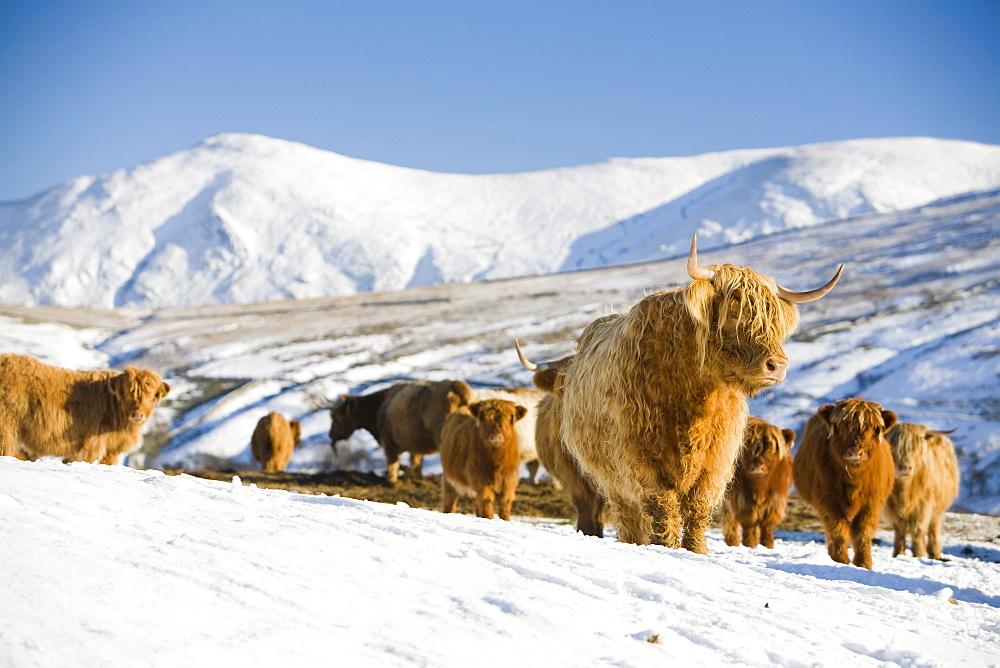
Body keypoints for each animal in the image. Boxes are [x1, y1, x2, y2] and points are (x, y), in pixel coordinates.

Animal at [0, 352, 170, 468]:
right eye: (128, 392)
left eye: (152, 396)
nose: (137, 414)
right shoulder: (92, 448)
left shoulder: (110, 452)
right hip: (6, 428)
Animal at [724, 418, 792, 548]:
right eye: (747, 447)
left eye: (771, 448)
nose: (757, 467)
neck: (760, 488)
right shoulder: (741, 499)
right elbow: (749, 522)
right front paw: (750, 545)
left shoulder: (775, 500)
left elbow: (767, 524)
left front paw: (768, 545)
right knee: (730, 519)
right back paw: (732, 542)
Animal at [792, 396, 896, 568]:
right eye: (841, 428)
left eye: (872, 429)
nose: (855, 452)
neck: (853, 479)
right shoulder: (827, 500)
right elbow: (838, 530)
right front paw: (840, 560)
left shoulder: (872, 502)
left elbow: (863, 533)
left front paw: (864, 564)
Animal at [888, 422, 964, 560]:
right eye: (892, 445)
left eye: (917, 447)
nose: (905, 467)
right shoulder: (891, 507)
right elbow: (899, 529)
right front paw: (898, 554)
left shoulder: (924, 505)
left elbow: (918, 530)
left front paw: (918, 554)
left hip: (938, 509)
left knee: (933, 528)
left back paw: (934, 554)